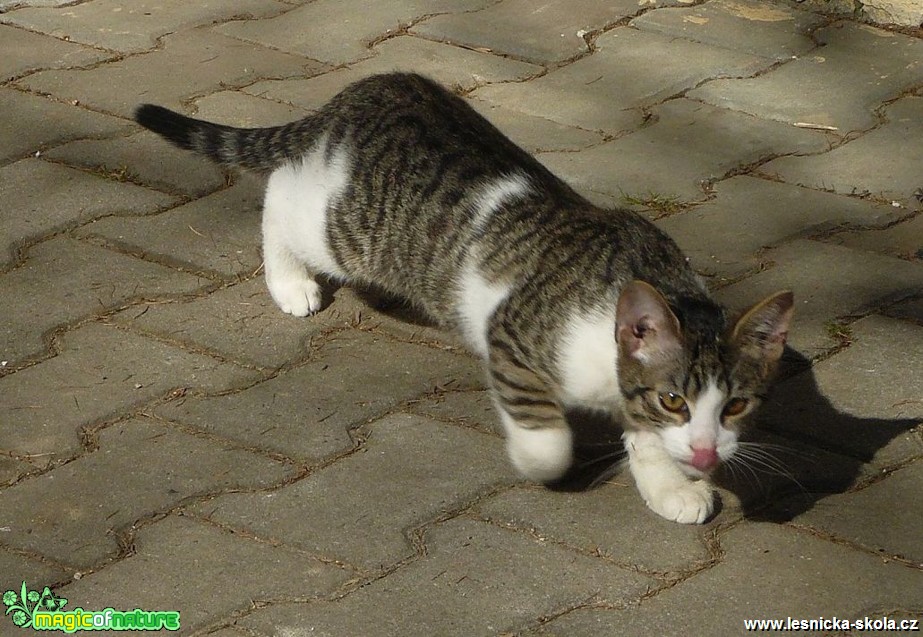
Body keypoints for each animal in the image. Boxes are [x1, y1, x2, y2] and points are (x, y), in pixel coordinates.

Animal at [137, 73, 796, 520]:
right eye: (675, 400)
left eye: (736, 406)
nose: (707, 455)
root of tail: (364, 92)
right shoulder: (512, 335)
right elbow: (548, 438)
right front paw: (536, 459)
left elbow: (645, 439)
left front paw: (670, 487)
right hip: (348, 233)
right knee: (281, 194)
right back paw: (290, 281)